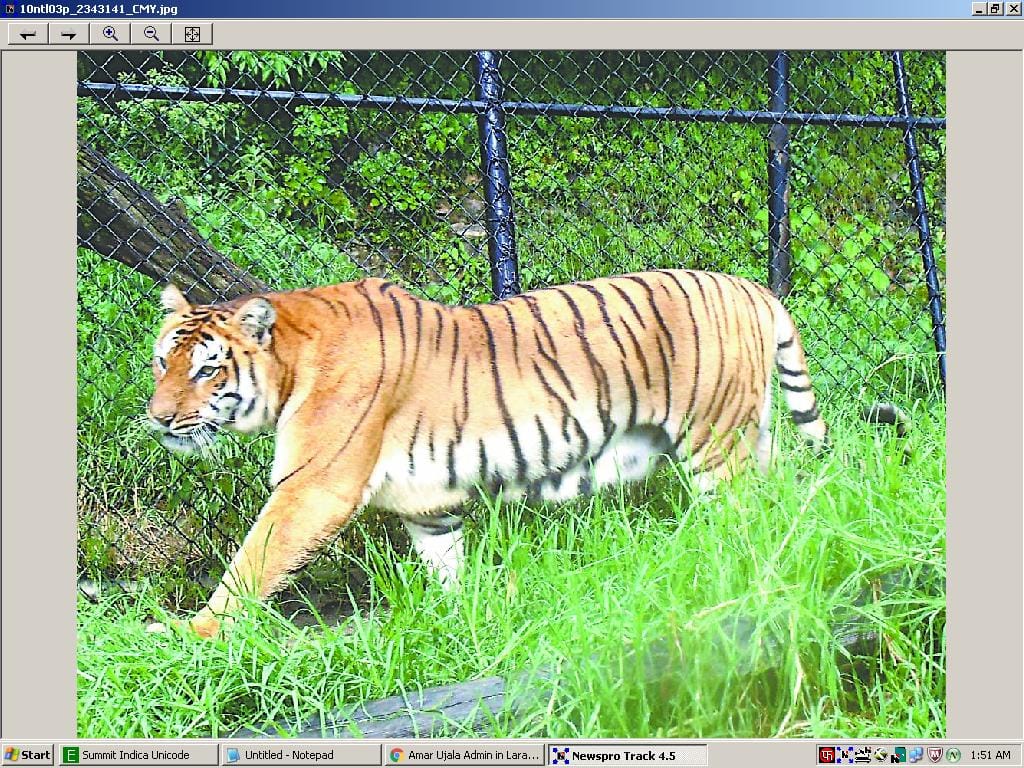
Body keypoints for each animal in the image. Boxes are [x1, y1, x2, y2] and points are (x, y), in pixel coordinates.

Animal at [144, 270, 907, 638]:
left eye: (207, 370)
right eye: (161, 362)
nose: (158, 420)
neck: (289, 366)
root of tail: (751, 286)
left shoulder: (312, 486)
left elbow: (251, 563)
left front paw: (192, 633)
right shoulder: (430, 507)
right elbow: (447, 569)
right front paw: (462, 621)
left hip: (718, 446)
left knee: (754, 523)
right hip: (752, 438)